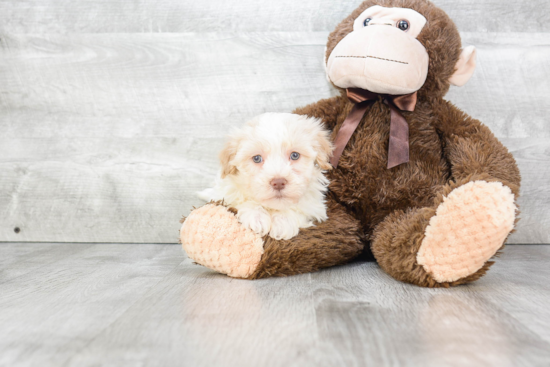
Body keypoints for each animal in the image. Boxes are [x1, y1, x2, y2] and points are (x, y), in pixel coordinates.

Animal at [201, 113, 334, 242]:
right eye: (256, 158)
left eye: (295, 155)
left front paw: (283, 221)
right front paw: (256, 217)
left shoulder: (314, 205)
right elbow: (241, 198)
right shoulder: (224, 193)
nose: (278, 182)